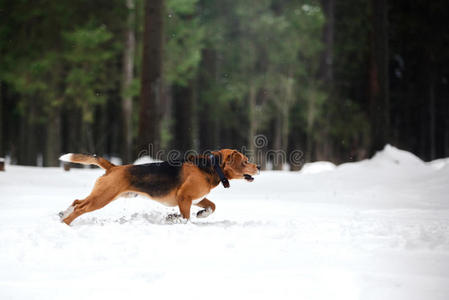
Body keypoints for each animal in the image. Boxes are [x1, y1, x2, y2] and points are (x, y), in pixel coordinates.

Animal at [57, 149, 260, 224]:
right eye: (245, 161)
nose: (258, 166)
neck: (212, 166)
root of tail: (114, 167)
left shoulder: (196, 198)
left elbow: (212, 206)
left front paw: (202, 214)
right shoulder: (184, 197)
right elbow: (185, 217)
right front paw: (176, 219)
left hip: (103, 194)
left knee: (77, 201)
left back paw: (62, 214)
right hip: (103, 196)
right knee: (80, 207)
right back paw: (65, 223)